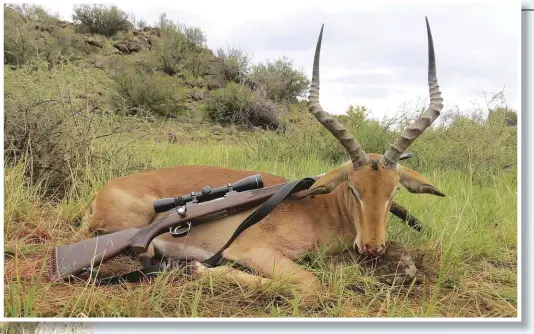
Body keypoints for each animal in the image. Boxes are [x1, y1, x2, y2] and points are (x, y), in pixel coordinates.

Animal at [85, 18, 448, 300]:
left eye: (393, 190)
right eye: (354, 188)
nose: (373, 247)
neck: (319, 210)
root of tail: (100, 194)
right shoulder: (252, 251)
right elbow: (310, 283)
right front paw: (200, 269)